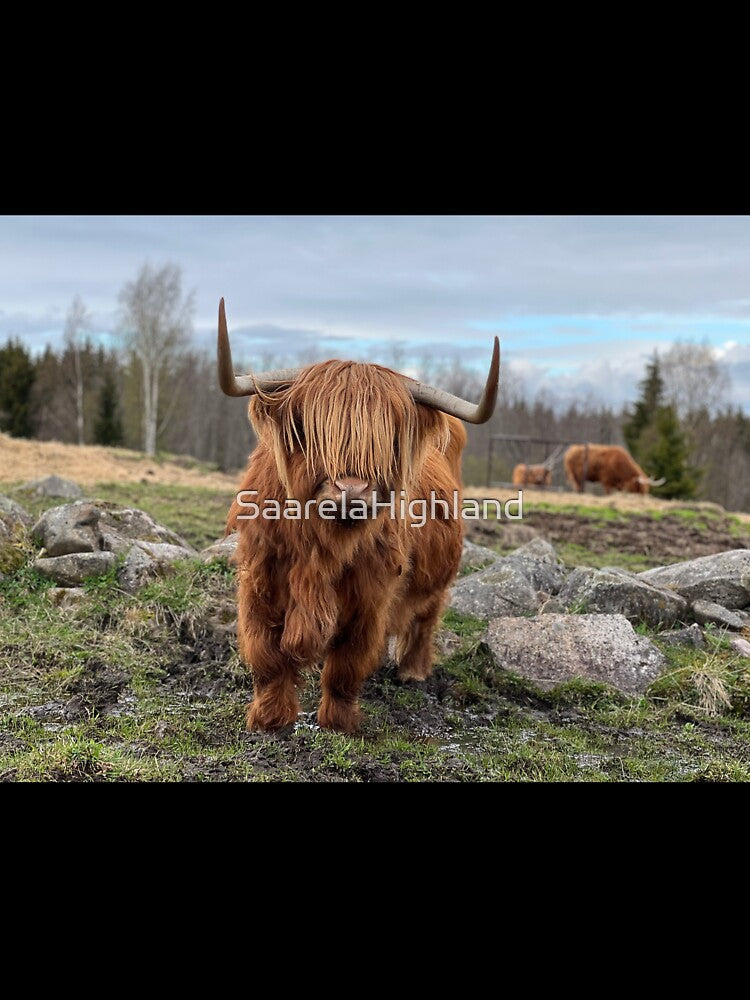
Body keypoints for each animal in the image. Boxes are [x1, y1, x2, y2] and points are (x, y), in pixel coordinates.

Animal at [218, 300, 500, 734]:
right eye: (311, 431)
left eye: (386, 439)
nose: (351, 490)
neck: (322, 547)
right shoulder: (260, 577)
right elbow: (266, 653)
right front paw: (270, 719)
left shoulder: (370, 594)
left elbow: (347, 662)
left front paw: (339, 722)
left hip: (437, 577)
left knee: (426, 618)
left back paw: (412, 671)